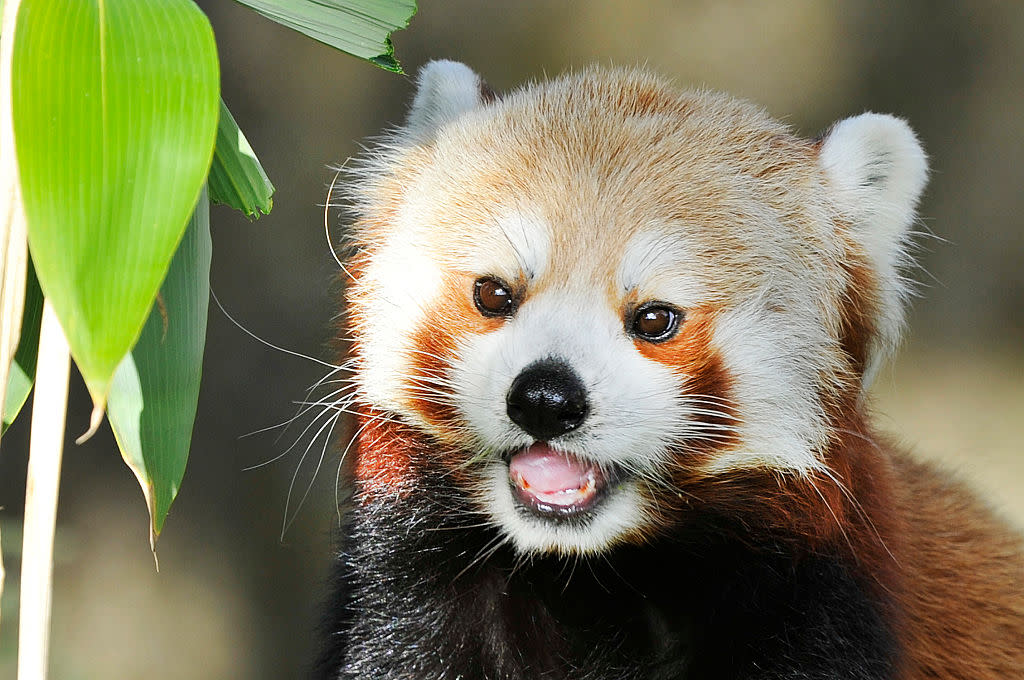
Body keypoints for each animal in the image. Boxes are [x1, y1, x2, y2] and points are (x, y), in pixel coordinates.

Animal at [313, 61, 1024, 675]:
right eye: (494, 294)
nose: (545, 398)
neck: (589, 577)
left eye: (655, 319)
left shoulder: (817, 607)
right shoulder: (411, 604)